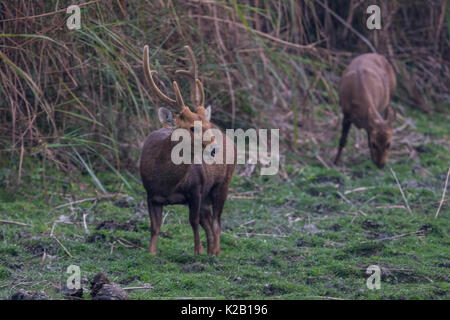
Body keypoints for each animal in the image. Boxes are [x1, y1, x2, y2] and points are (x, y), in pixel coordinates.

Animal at [140, 44, 236, 255]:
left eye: (207, 124)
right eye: (192, 128)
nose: (215, 148)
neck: (167, 184)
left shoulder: (196, 188)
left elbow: (193, 221)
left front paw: (198, 251)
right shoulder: (150, 193)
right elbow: (154, 227)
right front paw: (151, 253)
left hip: (222, 184)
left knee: (216, 222)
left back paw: (215, 252)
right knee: (209, 223)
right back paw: (212, 251)